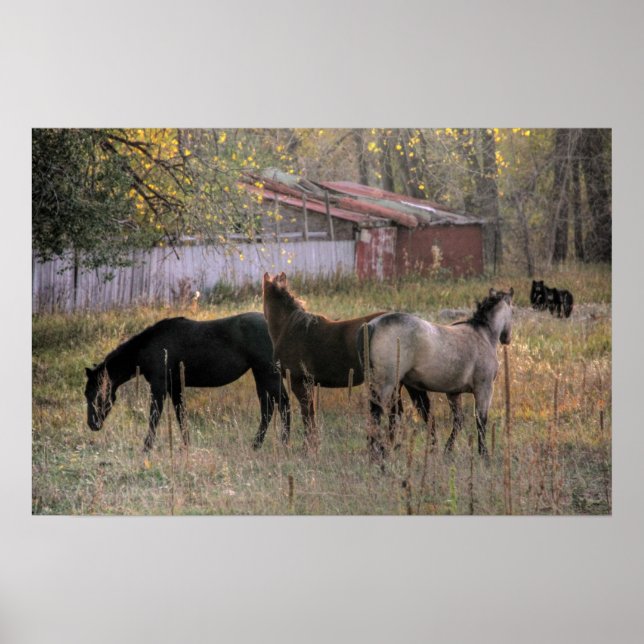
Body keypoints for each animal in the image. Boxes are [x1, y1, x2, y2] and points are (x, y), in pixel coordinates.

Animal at [84, 313, 291, 451]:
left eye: (94, 393)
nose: (92, 424)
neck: (150, 346)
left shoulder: (159, 386)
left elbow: (154, 416)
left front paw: (147, 447)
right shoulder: (175, 387)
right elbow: (181, 415)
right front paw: (187, 445)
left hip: (268, 373)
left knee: (282, 404)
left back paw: (283, 443)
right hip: (261, 374)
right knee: (268, 408)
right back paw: (257, 445)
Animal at [262, 272, 430, 448]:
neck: (290, 327)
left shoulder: (298, 382)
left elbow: (307, 415)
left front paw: (308, 447)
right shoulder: (308, 383)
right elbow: (311, 414)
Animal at [364, 288, 514, 458]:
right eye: (513, 311)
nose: (507, 339)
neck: (483, 334)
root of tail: (372, 325)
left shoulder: (453, 393)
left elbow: (458, 420)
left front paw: (447, 450)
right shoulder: (484, 389)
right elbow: (481, 421)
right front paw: (484, 454)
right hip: (385, 386)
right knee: (376, 414)